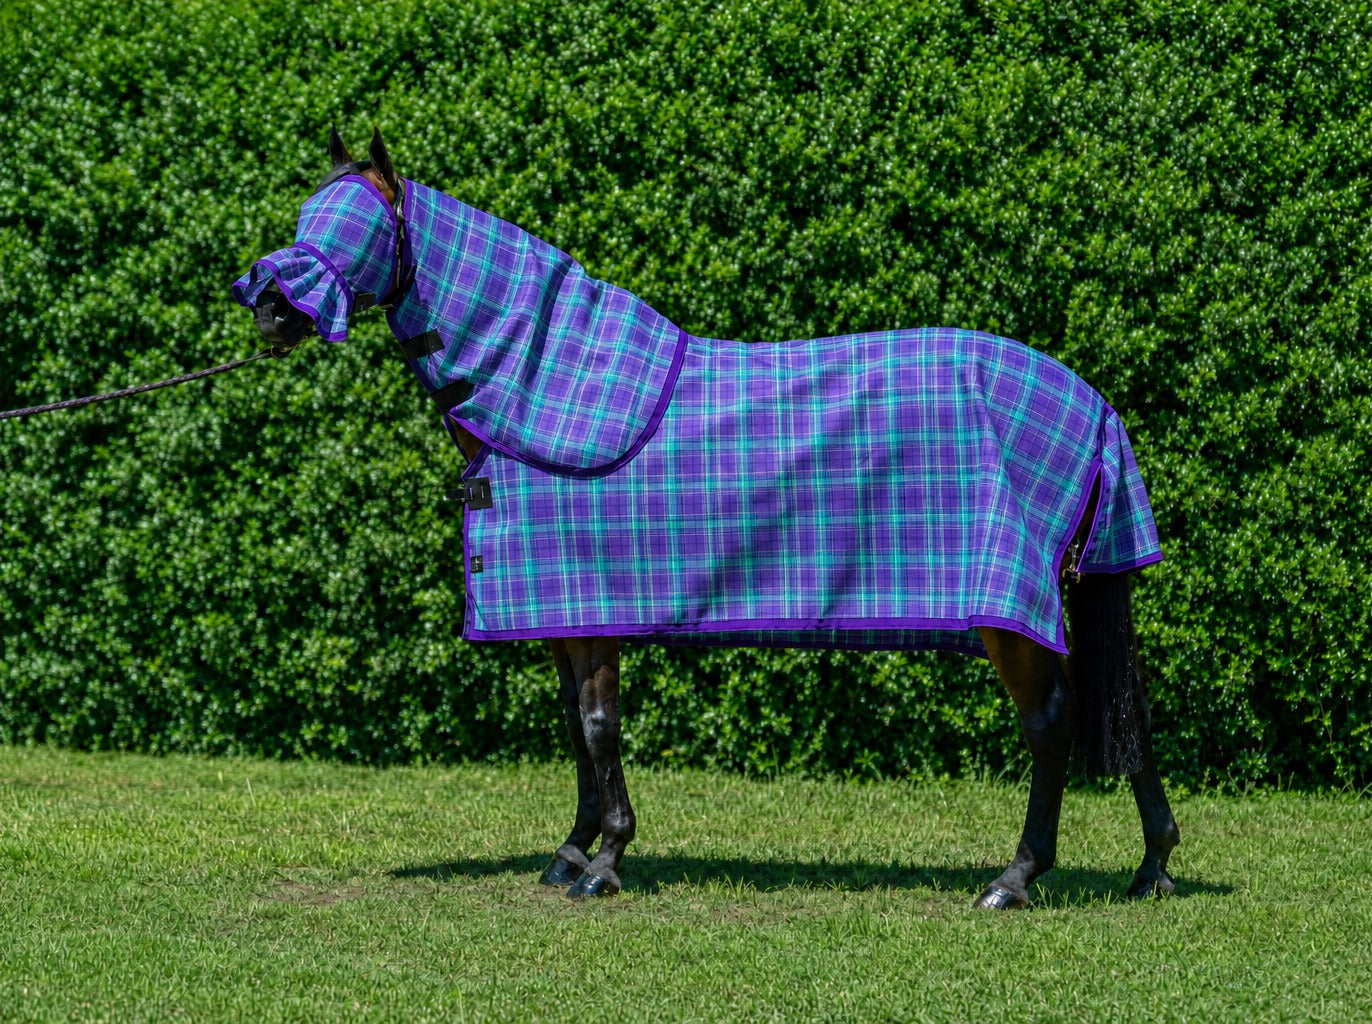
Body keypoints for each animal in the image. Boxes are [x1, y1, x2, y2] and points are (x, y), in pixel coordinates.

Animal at [235, 128, 1180, 909]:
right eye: (307, 216)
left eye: (356, 226)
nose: (271, 309)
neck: (543, 392)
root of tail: (1089, 402)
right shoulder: (566, 615)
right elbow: (575, 730)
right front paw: (573, 852)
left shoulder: (595, 612)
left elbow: (598, 726)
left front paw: (606, 863)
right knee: (1124, 712)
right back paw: (1153, 866)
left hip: (1007, 616)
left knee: (1050, 722)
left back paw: (1015, 878)